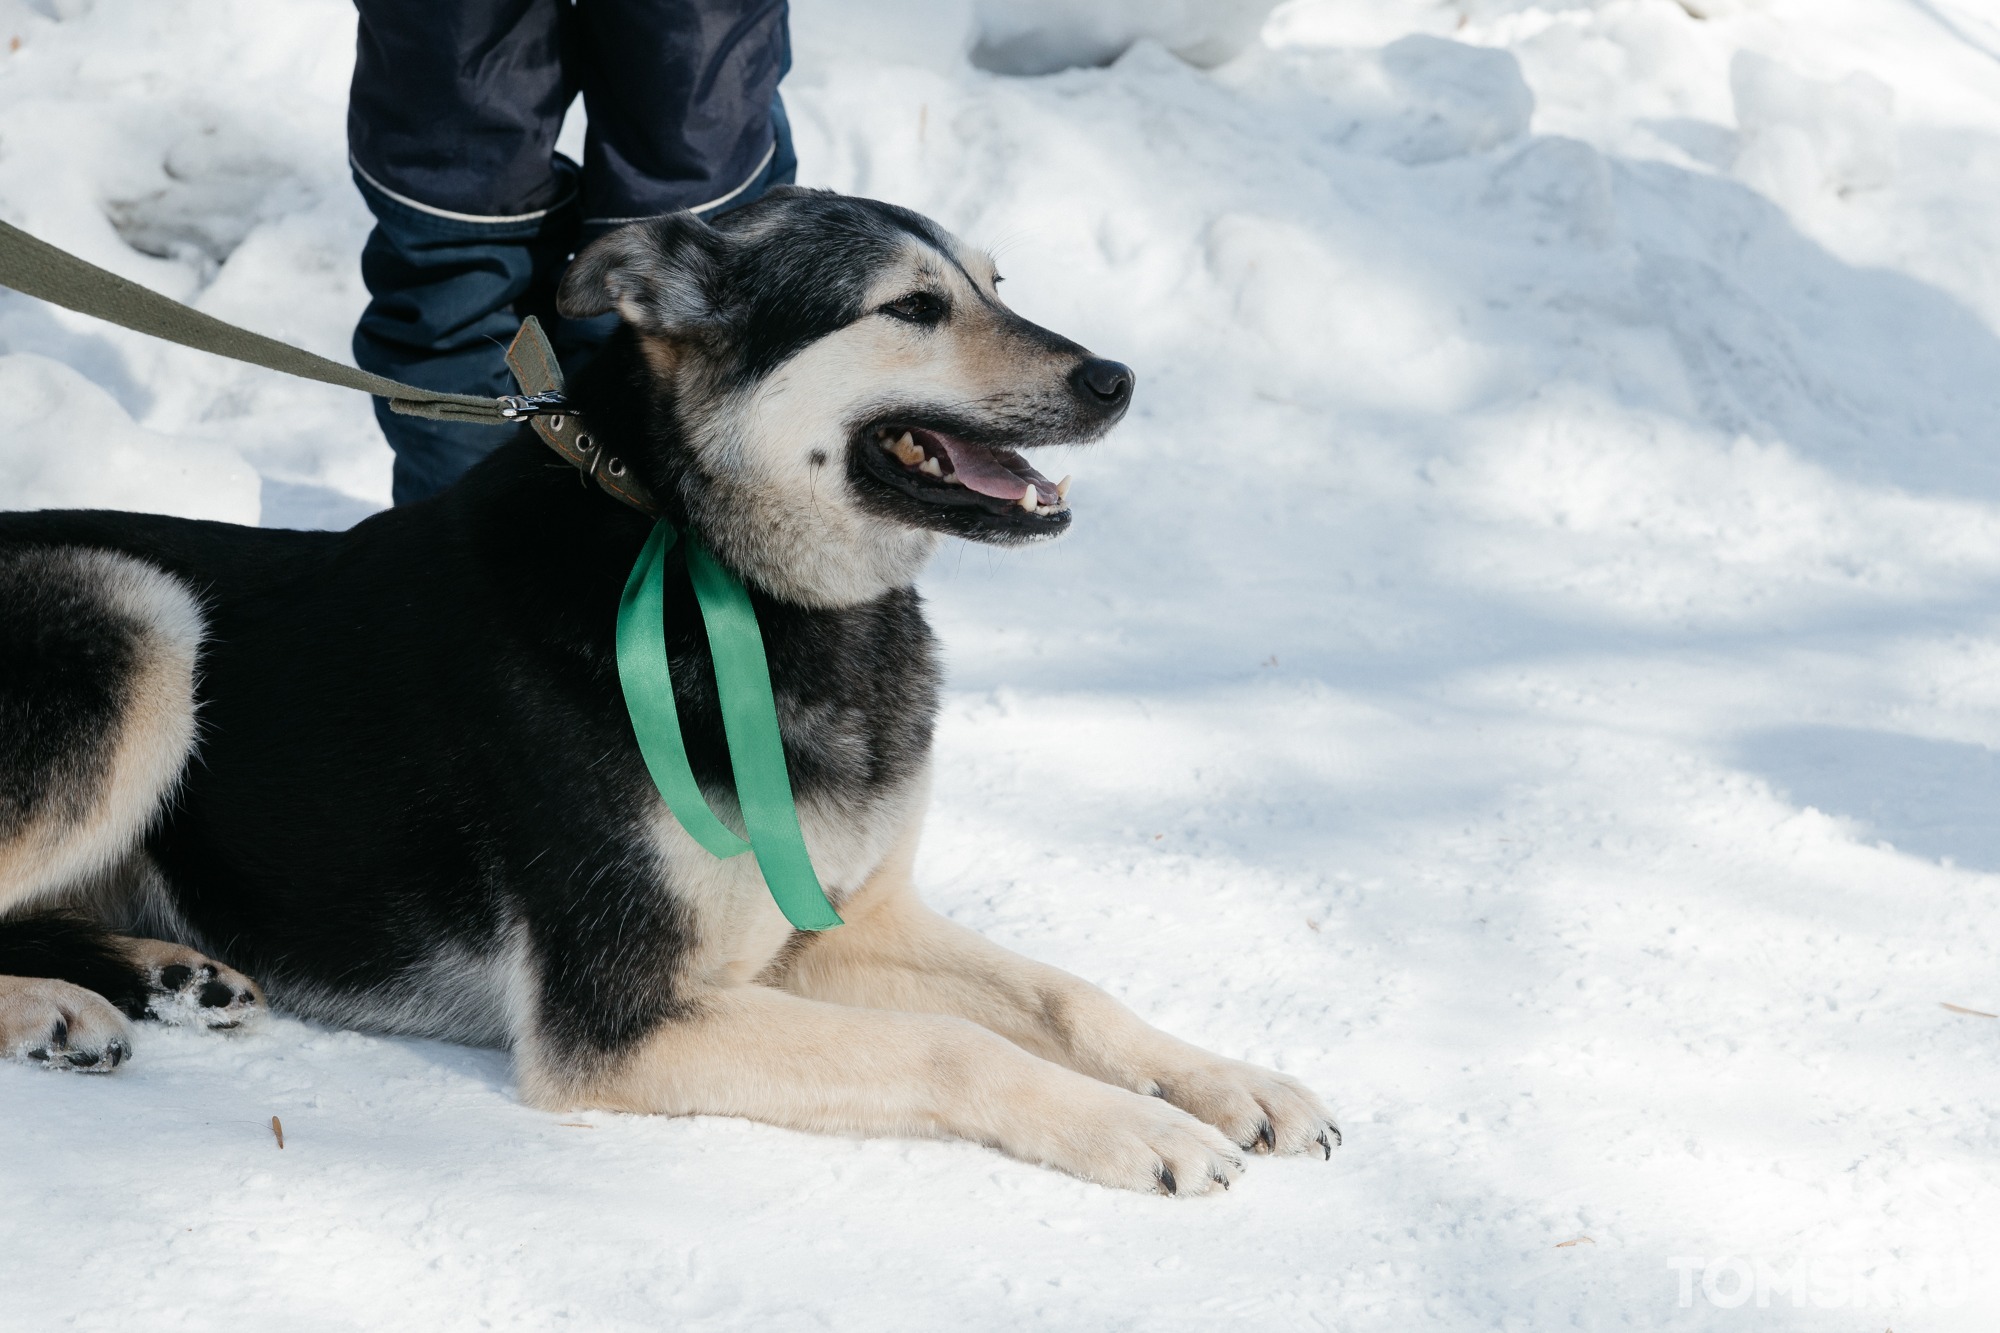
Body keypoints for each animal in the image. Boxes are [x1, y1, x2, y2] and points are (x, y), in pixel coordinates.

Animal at [3, 184, 1344, 1184]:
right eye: (911, 307)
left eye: (994, 287)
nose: (1114, 379)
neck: (727, 569)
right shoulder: (622, 1016)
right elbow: (951, 1045)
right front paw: (1143, 1129)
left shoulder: (841, 922)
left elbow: (1068, 997)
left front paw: (1225, 1082)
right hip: (139, 618)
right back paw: (56, 1009)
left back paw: (163, 973)